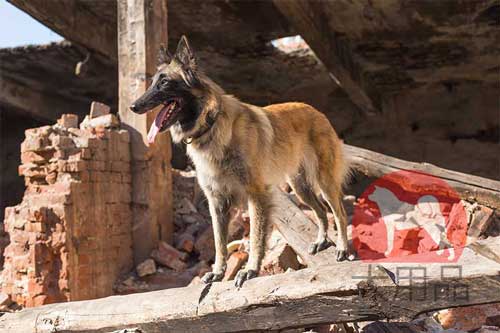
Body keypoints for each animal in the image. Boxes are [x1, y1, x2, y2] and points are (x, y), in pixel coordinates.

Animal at [129, 35, 350, 286]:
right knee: (321, 211)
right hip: (300, 187)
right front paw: (217, 272)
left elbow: (255, 237)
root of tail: (317, 112)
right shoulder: (217, 202)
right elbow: (219, 242)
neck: (210, 125)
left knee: (340, 214)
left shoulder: (257, 195)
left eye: (164, 83)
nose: (133, 106)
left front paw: (250, 270)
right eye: (152, 83)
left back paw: (342, 249)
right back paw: (321, 241)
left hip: (324, 182)